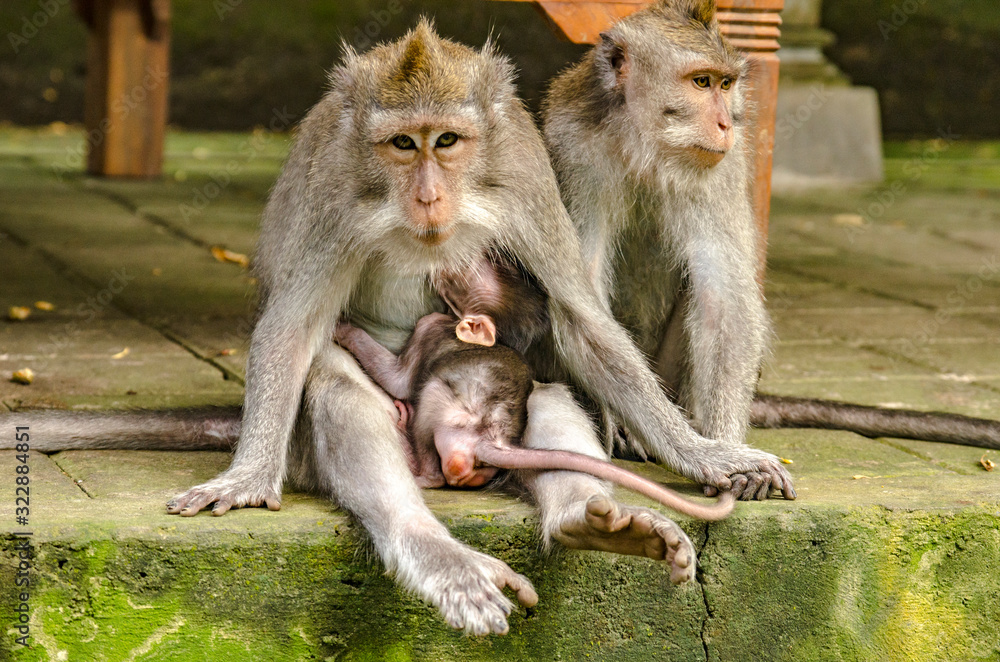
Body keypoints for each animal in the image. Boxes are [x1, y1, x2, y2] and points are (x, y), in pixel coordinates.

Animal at [334, 252, 736, 530]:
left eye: (462, 275)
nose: (447, 260)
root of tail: (494, 440)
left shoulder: (430, 326)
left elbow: (398, 378)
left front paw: (343, 329)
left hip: (447, 411)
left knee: (430, 414)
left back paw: (417, 461)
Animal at [540, 0, 1000, 500]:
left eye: (726, 84)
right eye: (700, 83)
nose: (726, 123)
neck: (644, 146)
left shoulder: (721, 167)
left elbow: (725, 298)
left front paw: (722, 449)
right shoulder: (572, 149)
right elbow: (579, 299)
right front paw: (701, 453)